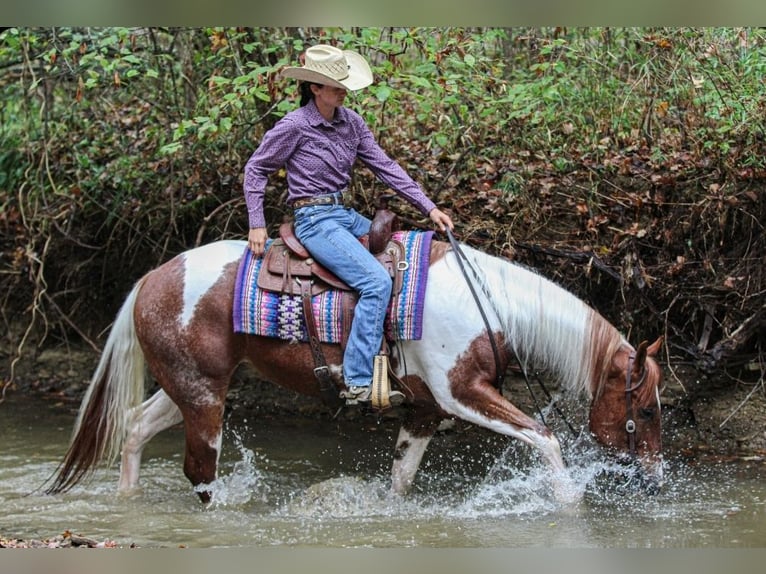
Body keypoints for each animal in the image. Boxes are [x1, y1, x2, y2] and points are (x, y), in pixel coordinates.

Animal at [45, 236, 664, 504]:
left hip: (190, 387)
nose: (656, 479)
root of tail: (151, 278)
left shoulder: (426, 410)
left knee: (133, 429)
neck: (489, 301)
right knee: (199, 472)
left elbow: (401, 479)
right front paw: (568, 502)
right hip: (201, 396)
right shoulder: (462, 394)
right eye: (646, 409)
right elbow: (544, 436)